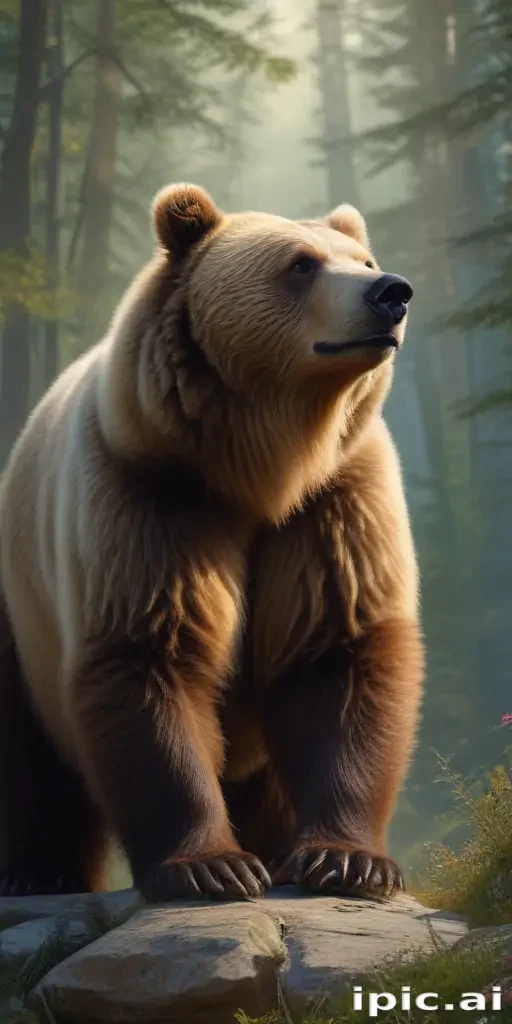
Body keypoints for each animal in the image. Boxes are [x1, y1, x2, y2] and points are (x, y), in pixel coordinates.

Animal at [0, 183, 424, 902]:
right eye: (301, 263)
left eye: (363, 260)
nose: (392, 292)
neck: (262, 465)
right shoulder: (152, 496)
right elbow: (150, 653)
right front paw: (210, 866)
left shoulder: (334, 504)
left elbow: (340, 653)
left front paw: (344, 860)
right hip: (19, 607)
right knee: (29, 756)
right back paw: (38, 872)